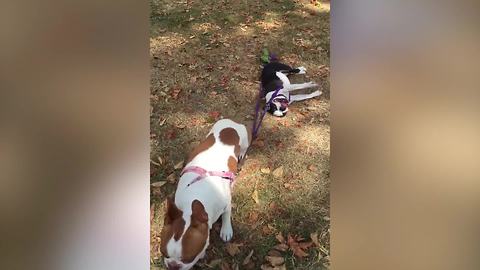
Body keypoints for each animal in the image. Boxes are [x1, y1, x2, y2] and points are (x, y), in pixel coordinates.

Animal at [161, 119, 251, 268]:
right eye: (164, 254)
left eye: (189, 258)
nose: (173, 266)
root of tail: (231, 122)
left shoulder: (227, 203)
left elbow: (226, 215)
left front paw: (226, 230)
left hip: (245, 141)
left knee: (243, 151)